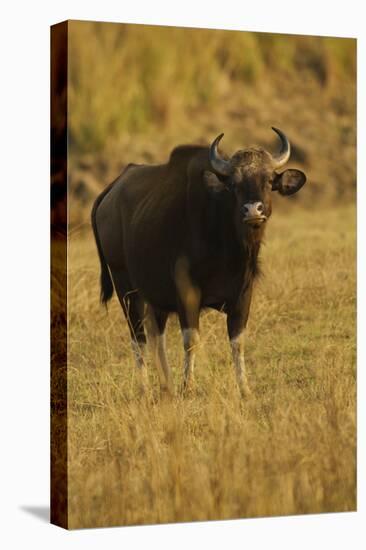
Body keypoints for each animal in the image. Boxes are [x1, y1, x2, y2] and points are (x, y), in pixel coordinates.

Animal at [91, 129, 306, 396]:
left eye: (268, 180)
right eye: (233, 184)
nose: (253, 211)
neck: (227, 247)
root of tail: (110, 191)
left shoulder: (243, 294)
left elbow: (238, 341)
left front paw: (244, 388)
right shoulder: (187, 292)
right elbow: (191, 339)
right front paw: (189, 386)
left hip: (154, 296)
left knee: (156, 337)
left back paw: (166, 386)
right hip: (125, 288)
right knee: (138, 338)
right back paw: (145, 388)